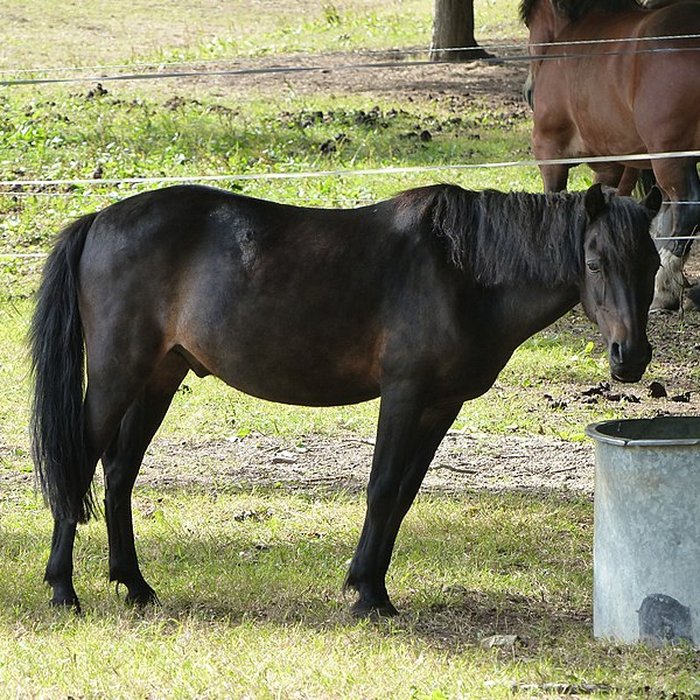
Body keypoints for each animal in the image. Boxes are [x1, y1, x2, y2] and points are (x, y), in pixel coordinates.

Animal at [30, 182, 661, 616]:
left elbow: (402, 496)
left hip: (159, 376)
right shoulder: (403, 394)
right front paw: (366, 596)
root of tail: (99, 220)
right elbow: (381, 490)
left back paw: (134, 585)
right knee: (79, 464)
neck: (460, 272)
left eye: (653, 262)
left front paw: (373, 586)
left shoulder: (441, 405)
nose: (630, 357)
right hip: (116, 375)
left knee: (119, 473)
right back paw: (63, 589)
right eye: (596, 262)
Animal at [520, 0, 700, 310]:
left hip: (670, 157)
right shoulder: (612, 164)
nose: (529, 92)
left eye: (530, 21)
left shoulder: (549, 150)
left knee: (687, 207)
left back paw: (663, 284)